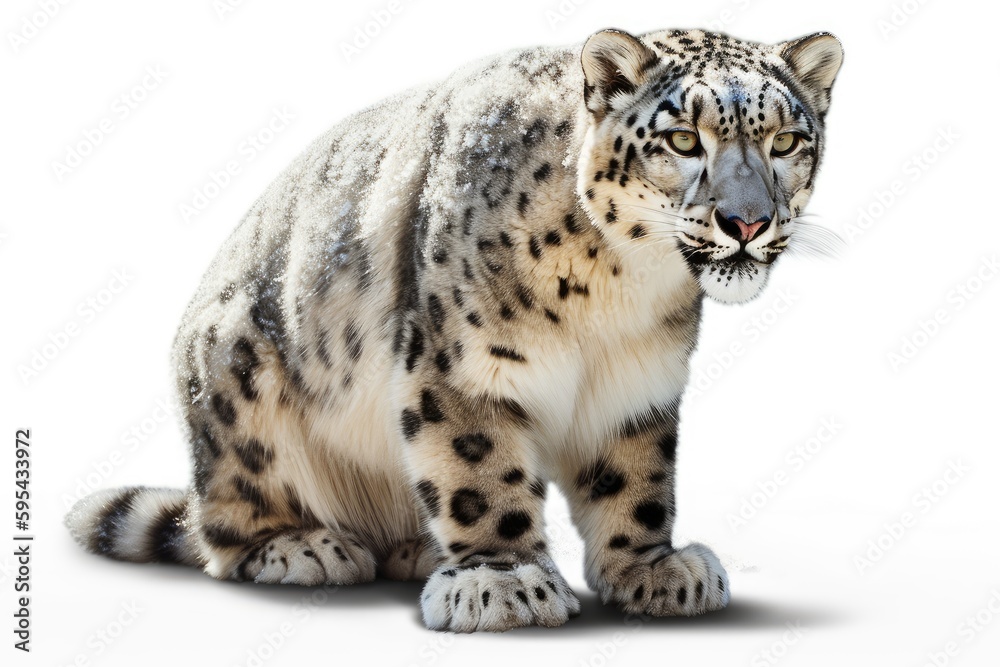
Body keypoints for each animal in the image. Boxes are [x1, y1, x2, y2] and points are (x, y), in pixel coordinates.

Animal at [66, 27, 843, 632]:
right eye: (683, 138)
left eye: (785, 140)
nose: (748, 222)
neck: (622, 292)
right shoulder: (465, 366)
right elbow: (480, 470)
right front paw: (504, 581)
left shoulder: (639, 382)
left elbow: (636, 476)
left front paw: (653, 570)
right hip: (239, 387)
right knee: (224, 528)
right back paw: (308, 547)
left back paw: (415, 550)